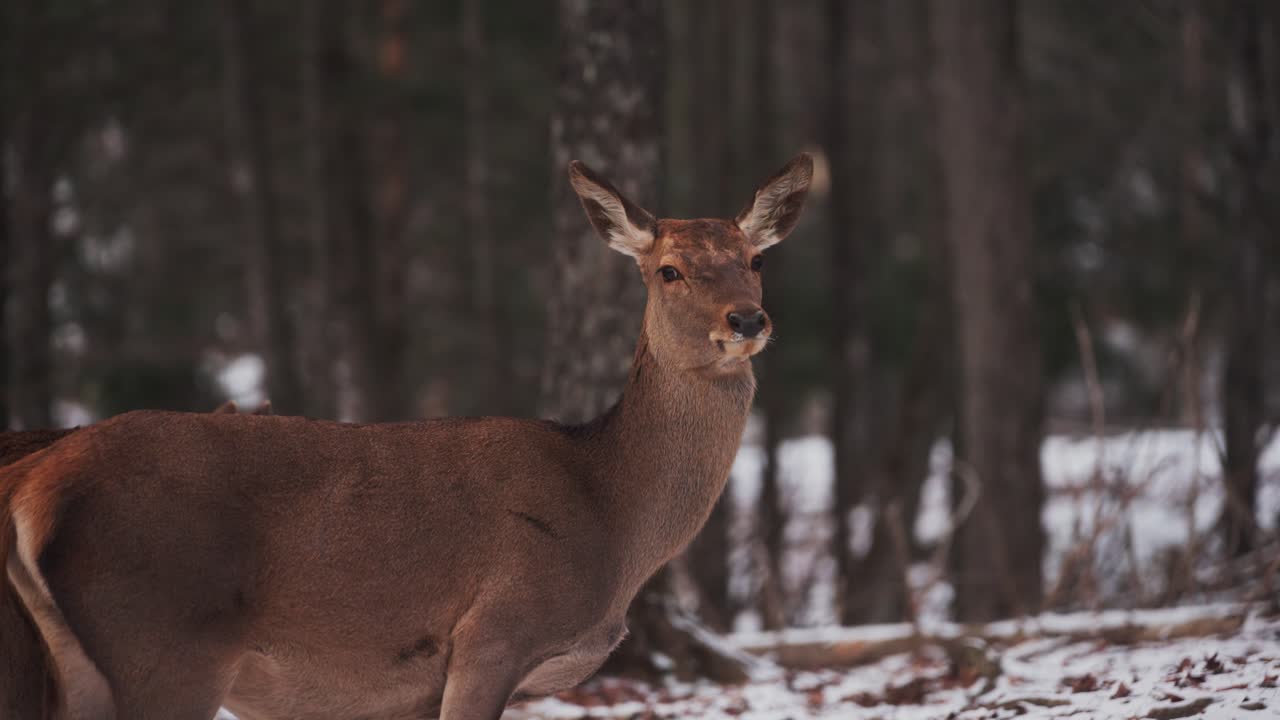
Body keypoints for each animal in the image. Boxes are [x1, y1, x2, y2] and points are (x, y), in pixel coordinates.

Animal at [0, 153, 813, 720]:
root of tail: (32, 490)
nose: (747, 319)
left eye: (756, 259)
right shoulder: (493, 629)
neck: (610, 516)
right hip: (161, 641)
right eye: (669, 270)